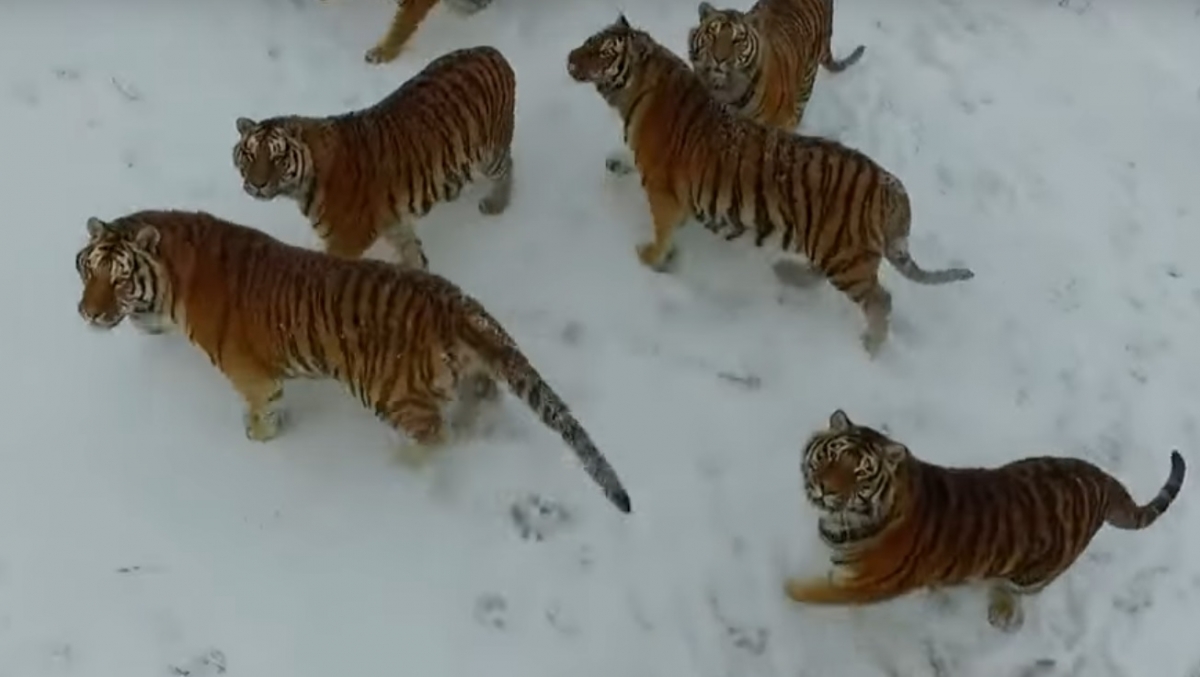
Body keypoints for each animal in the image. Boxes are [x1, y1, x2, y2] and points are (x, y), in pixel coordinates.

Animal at [74, 209, 632, 515]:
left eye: (119, 279)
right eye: (88, 270)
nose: (87, 313)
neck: (175, 274)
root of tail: (456, 304)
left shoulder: (254, 377)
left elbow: (263, 412)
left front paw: (256, 439)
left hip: (391, 395)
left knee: (437, 436)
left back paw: (400, 464)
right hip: (471, 375)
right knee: (480, 406)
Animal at [232, 44, 515, 271]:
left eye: (278, 158)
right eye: (250, 154)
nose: (257, 184)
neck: (302, 186)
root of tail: (492, 51)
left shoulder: (346, 242)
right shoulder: (394, 223)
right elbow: (413, 252)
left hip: (489, 152)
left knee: (507, 166)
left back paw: (496, 203)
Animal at [565, 15, 973, 357]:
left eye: (603, 52)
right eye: (589, 40)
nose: (570, 58)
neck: (639, 89)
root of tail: (892, 187)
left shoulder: (663, 191)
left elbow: (662, 231)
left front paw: (649, 258)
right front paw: (617, 163)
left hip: (845, 257)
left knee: (879, 300)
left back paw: (871, 347)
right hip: (834, 251)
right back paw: (789, 275)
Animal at [786, 409, 1187, 631]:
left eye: (860, 474)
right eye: (832, 457)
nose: (824, 488)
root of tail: (1102, 478)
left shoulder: (868, 587)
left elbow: (820, 593)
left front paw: (787, 590)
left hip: (1034, 573)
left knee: (1019, 590)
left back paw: (1002, 609)